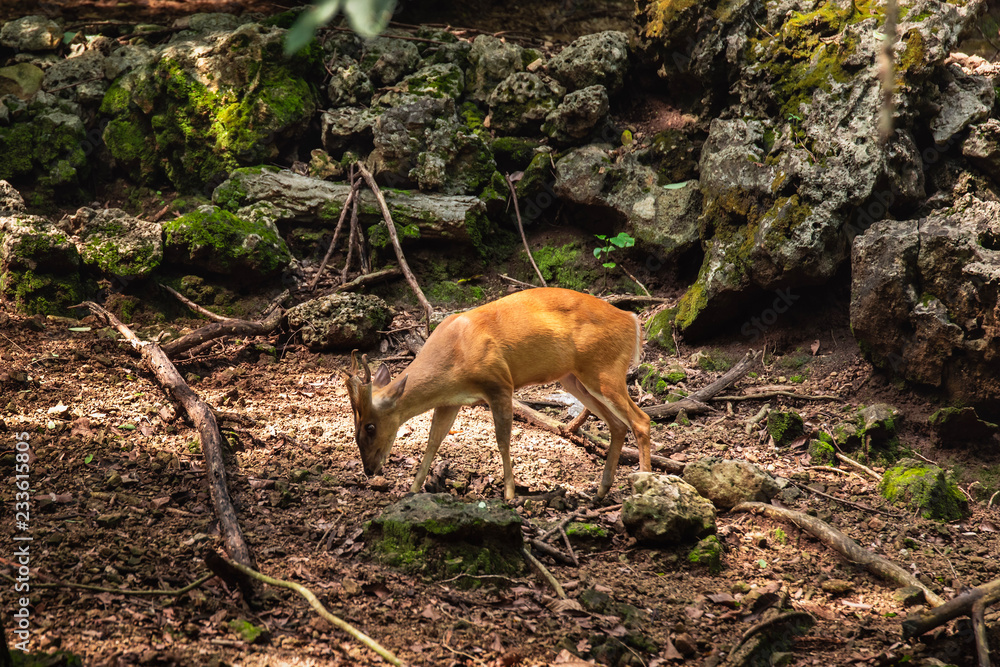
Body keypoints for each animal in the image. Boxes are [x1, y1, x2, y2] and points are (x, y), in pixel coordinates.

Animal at [344, 287, 652, 501]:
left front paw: (510, 494)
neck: (455, 354)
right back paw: (601, 490)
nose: (369, 469)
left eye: (370, 427)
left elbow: (502, 440)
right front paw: (414, 488)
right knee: (618, 425)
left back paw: (645, 486)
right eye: (355, 426)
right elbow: (433, 441)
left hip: (604, 370)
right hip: (575, 378)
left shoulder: (500, 383)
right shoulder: (449, 401)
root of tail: (632, 320)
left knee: (641, 420)